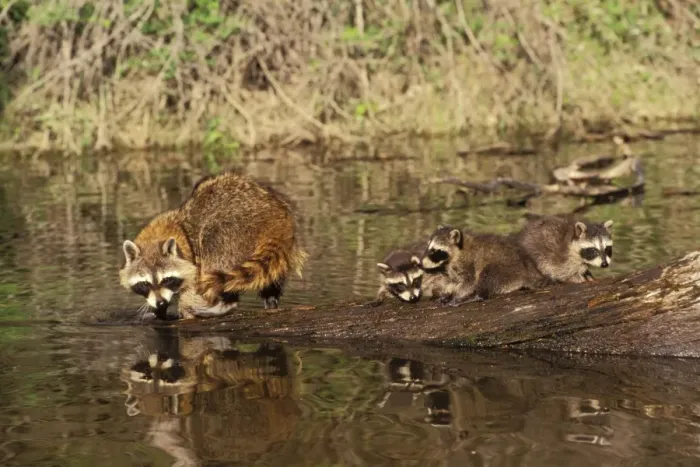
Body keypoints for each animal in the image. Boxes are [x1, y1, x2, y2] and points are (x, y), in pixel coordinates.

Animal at [119, 172, 308, 320]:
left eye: (167, 279)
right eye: (144, 284)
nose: (160, 303)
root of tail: (275, 217)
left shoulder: (192, 257)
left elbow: (195, 283)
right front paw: (159, 310)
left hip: (230, 231)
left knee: (215, 260)